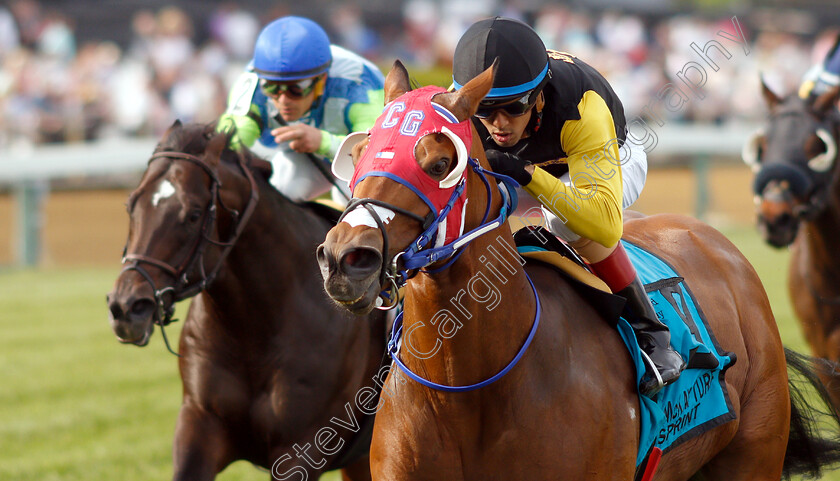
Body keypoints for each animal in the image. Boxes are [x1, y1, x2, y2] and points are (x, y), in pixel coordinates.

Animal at [106, 121, 388, 480]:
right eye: (131, 205)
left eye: (193, 214)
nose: (126, 306)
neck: (255, 330)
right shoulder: (199, 425)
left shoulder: (302, 448)